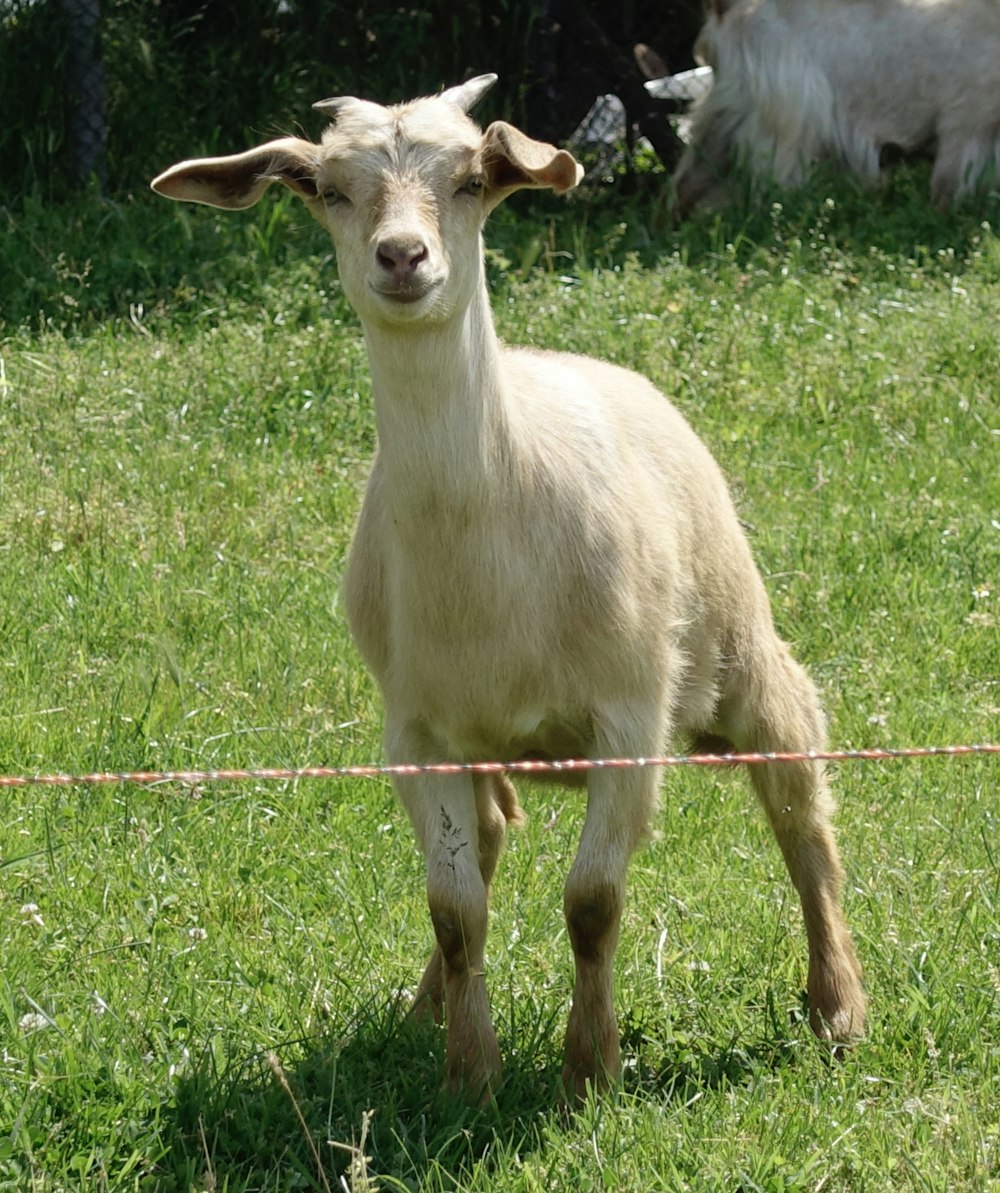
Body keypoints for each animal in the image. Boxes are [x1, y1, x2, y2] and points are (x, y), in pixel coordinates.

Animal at [152, 72, 863, 1097]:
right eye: (327, 188)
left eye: (470, 178)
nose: (402, 256)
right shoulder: (413, 734)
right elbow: (456, 909)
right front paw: (469, 1072)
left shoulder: (628, 719)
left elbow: (593, 901)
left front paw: (590, 1067)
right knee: (486, 844)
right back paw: (424, 1007)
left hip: (741, 647)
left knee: (800, 802)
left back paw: (837, 1003)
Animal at [673, 0, 1000, 214]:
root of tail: (726, 13)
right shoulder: (965, 125)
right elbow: (950, 190)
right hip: (782, 123)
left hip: (728, 117)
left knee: (695, 176)